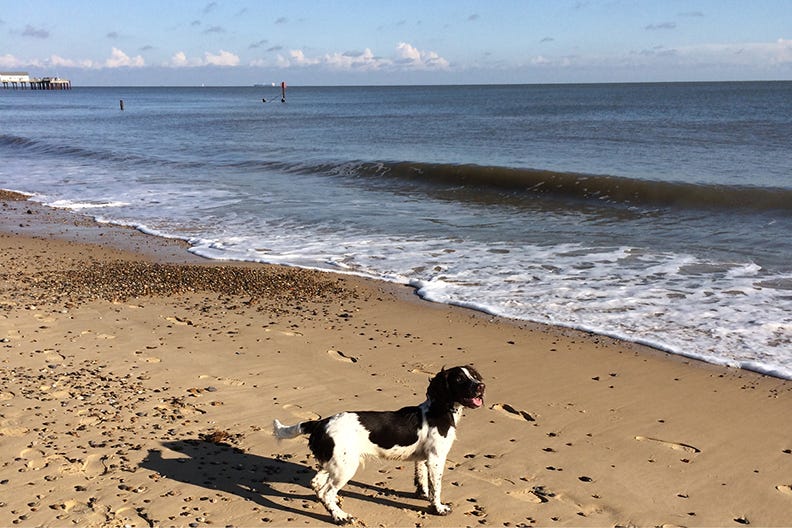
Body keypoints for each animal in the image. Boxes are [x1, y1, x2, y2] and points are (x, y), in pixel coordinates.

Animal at [272, 368, 482, 524]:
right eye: (459, 378)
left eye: (474, 375)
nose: (481, 386)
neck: (438, 410)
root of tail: (320, 423)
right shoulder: (437, 458)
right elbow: (436, 487)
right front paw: (439, 508)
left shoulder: (425, 458)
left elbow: (422, 479)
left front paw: (423, 495)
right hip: (346, 467)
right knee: (326, 491)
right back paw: (341, 517)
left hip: (335, 461)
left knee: (317, 484)